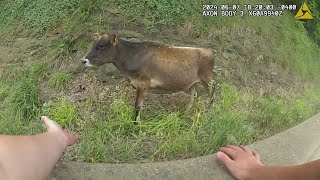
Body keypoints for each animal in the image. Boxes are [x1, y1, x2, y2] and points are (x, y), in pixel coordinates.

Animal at [84, 33, 216, 121]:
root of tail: (207, 50)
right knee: (193, 96)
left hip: (207, 78)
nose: (84, 60)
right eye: (93, 45)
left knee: (212, 93)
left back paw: (207, 111)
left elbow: (138, 106)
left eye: (101, 46)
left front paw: (136, 123)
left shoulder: (142, 83)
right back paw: (186, 114)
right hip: (192, 83)